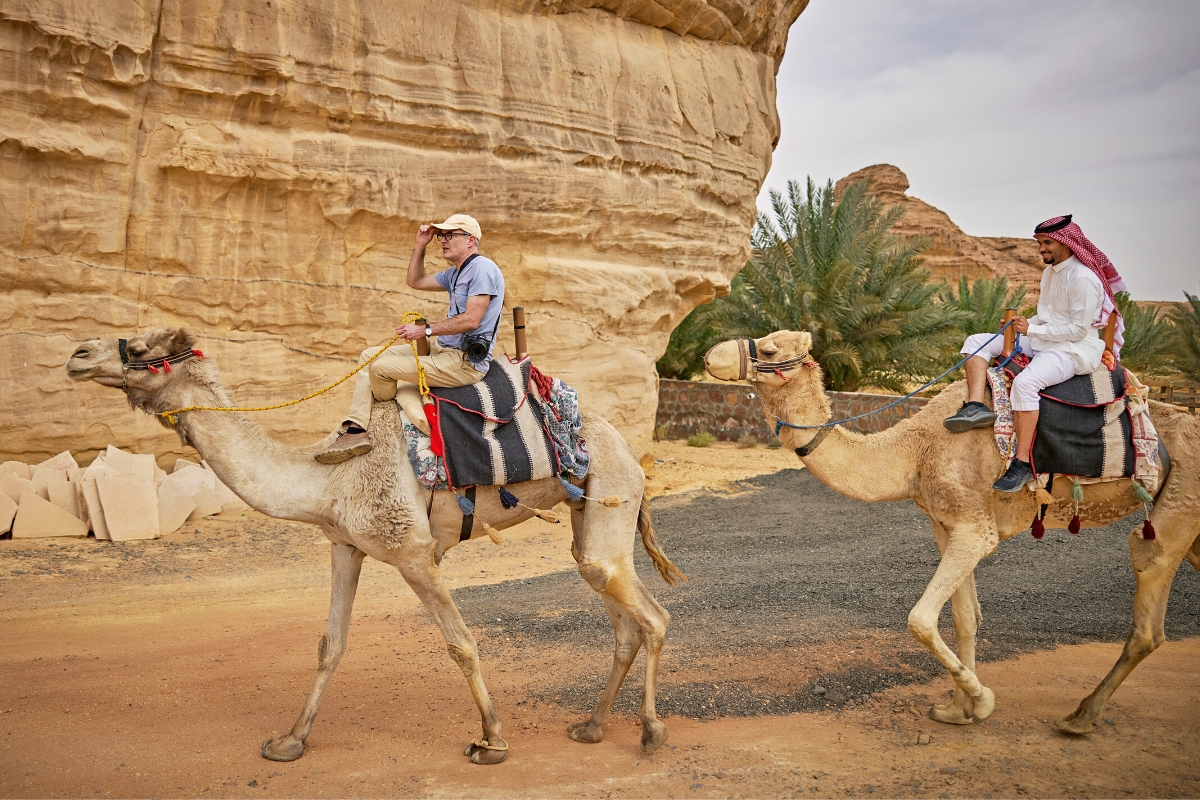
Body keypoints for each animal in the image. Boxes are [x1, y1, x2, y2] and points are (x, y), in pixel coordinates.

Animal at [700, 331, 1200, 734]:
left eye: (769, 349)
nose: (709, 355)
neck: (915, 450)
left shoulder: (975, 529)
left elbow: (920, 619)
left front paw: (981, 700)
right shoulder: (945, 523)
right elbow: (964, 617)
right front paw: (959, 709)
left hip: (1176, 510)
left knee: (1148, 615)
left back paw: (1079, 717)